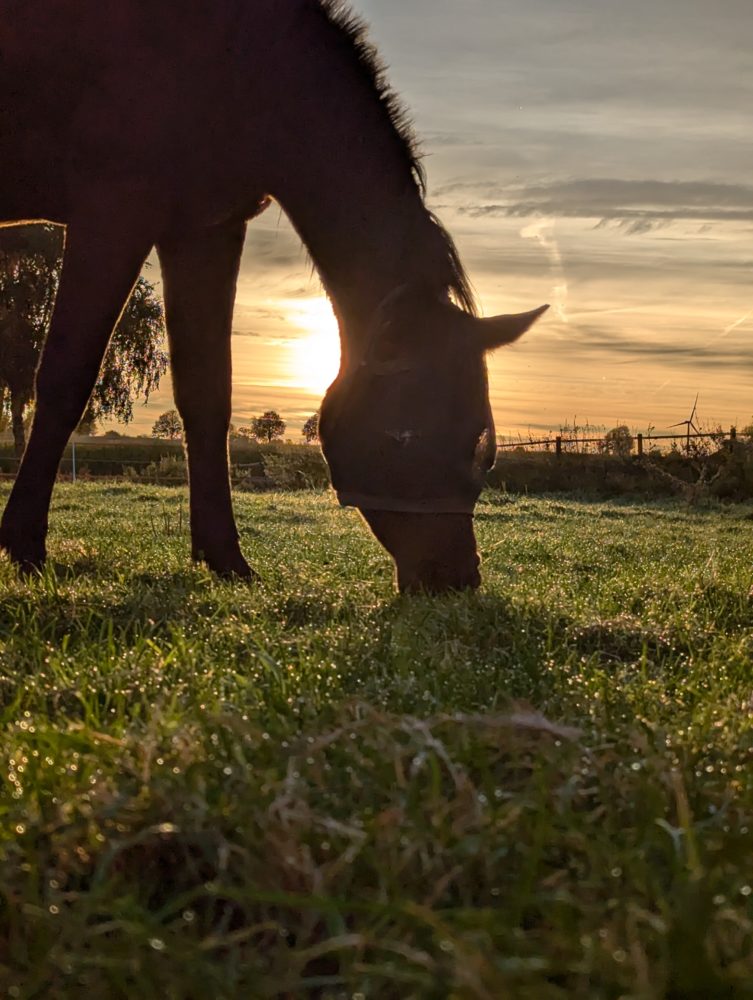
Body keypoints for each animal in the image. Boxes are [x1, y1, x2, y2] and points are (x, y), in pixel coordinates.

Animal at [0, 0, 544, 588]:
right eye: (411, 432)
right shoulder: (114, 214)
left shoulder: (204, 230)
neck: (246, 58)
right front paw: (24, 544)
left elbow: (207, 395)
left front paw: (224, 557)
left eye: (484, 442)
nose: (456, 578)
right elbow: (66, 379)